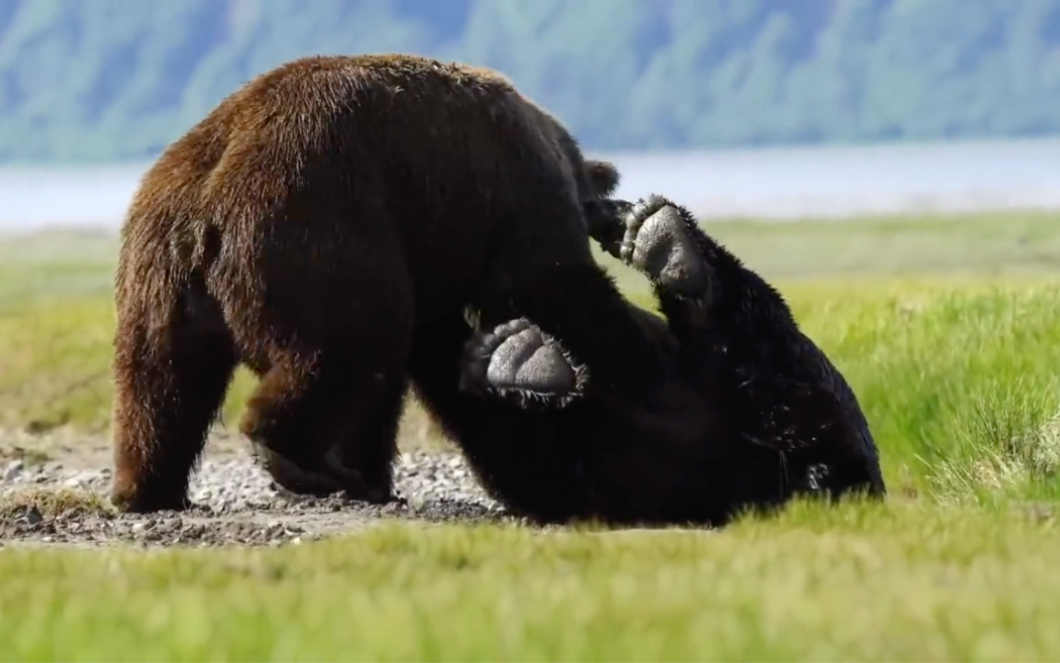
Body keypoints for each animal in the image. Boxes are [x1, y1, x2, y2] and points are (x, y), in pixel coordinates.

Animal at [109, 54, 669, 515]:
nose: (610, 217)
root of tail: (210, 201)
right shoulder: (518, 190)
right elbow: (547, 281)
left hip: (156, 267)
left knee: (159, 383)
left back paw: (148, 488)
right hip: (312, 228)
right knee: (348, 344)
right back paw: (297, 457)